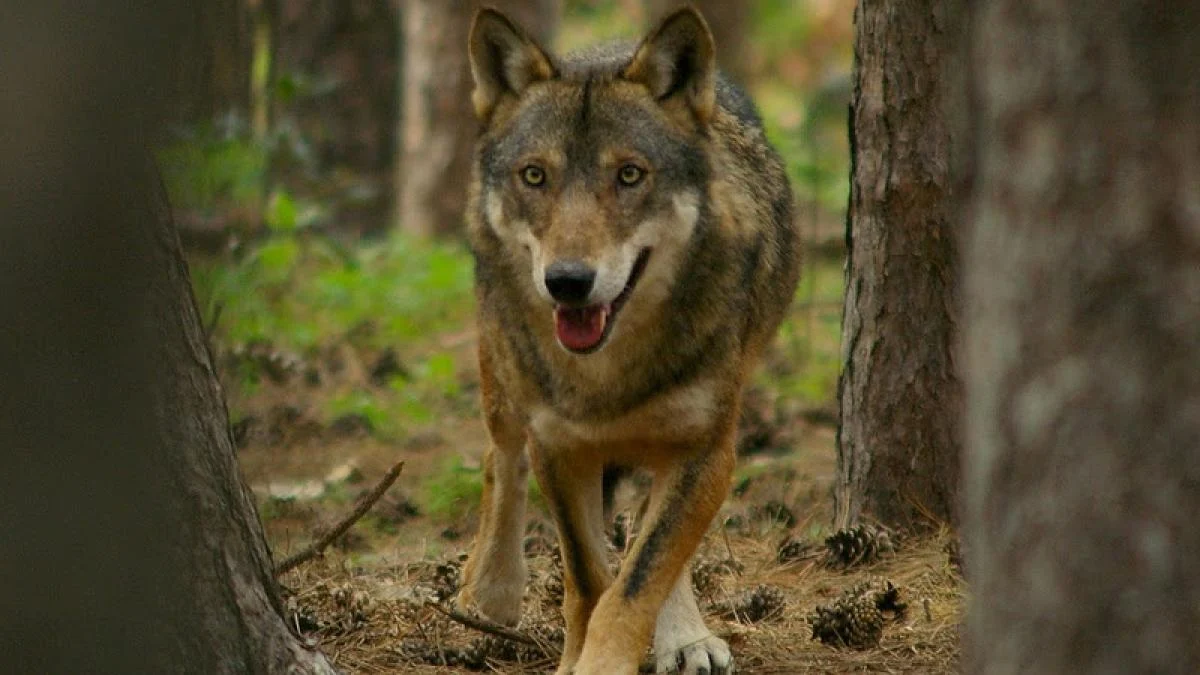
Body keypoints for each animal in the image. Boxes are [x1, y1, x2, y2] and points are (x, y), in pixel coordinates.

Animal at [455, 5, 802, 674]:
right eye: (534, 175)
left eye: (630, 175)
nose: (567, 282)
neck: (605, 376)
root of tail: (606, 46)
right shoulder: (558, 448)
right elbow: (589, 581)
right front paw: (572, 660)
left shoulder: (707, 451)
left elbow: (637, 581)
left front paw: (623, 652)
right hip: (503, 375)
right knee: (499, 457)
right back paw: (489, 590)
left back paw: (686, 637)